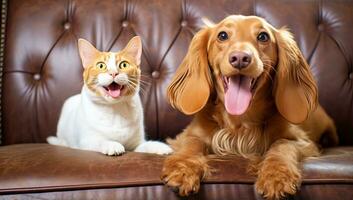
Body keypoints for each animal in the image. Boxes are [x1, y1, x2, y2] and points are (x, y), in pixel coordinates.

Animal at [161, 14, 336, 199]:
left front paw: (277, 176)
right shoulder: (186, 136)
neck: (240, 121)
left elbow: (282, 145)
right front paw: (182, 171)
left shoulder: (303, 142)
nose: (240, 58)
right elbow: (192, 144)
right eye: (222, 35)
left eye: (263, 36)